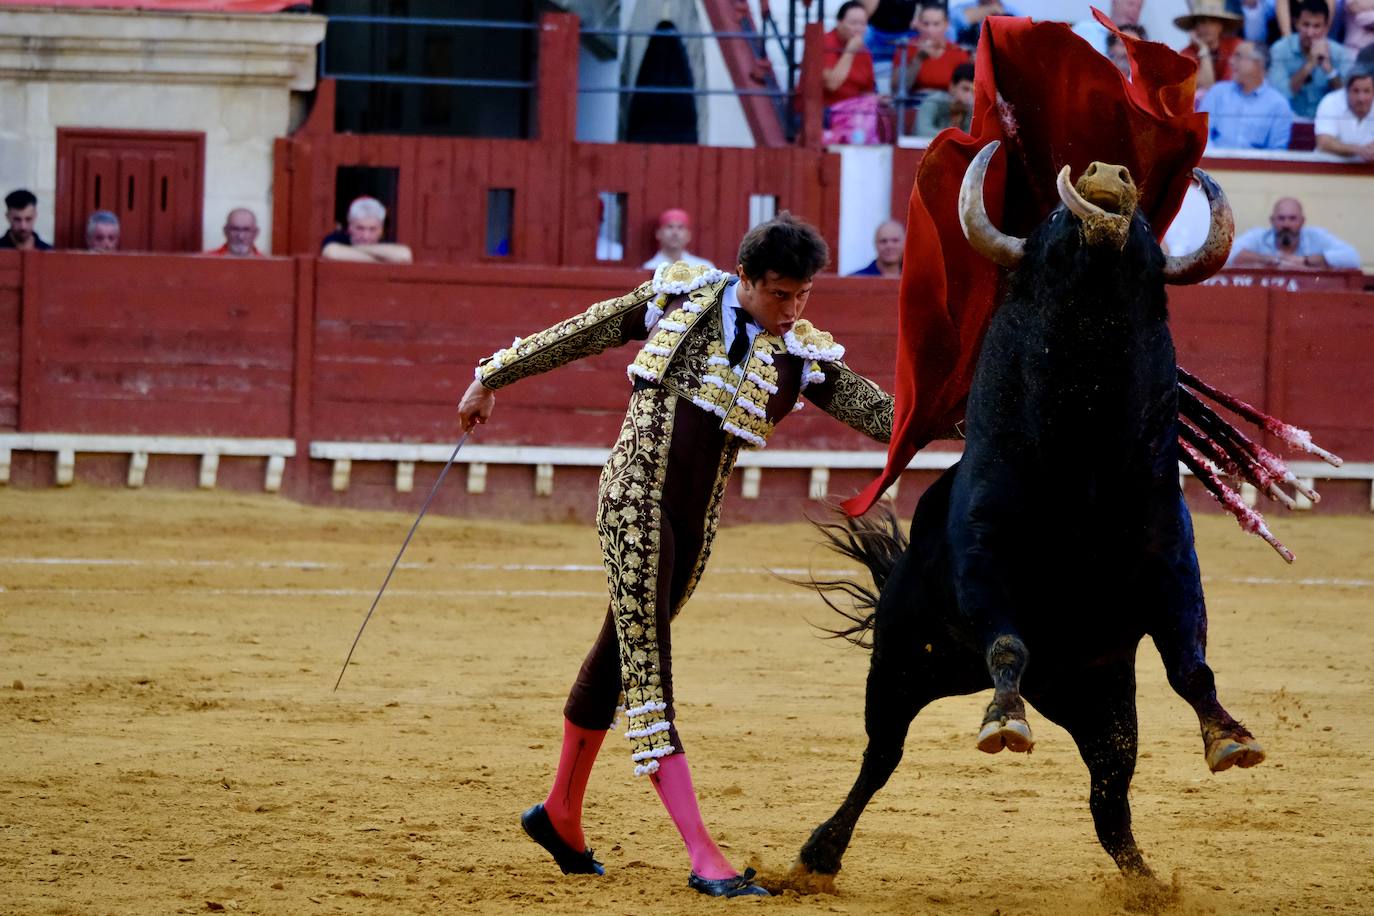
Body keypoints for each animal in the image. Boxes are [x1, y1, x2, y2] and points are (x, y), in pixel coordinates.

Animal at [802, 143, 1258, 878]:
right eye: (1050, 227)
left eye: (1145, 241)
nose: (1108, 178)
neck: (1082, 463)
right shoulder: (986, 563)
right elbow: (1009, 642)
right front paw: (1005, 721)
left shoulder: (1171, 565)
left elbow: (1192, 664)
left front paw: (1230, 739)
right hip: (901, 662)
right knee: (881, 755)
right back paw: (821, 851)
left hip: (1101, 701)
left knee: (1110, 798)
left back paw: (1148, 885)